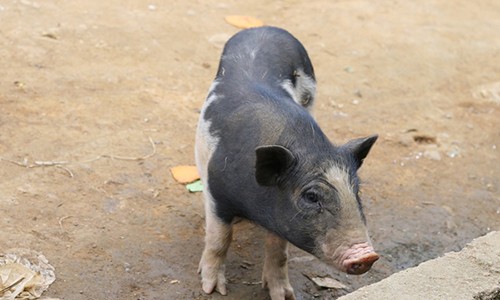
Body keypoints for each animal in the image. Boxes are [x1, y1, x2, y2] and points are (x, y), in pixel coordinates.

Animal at [195, 26, 378, 300]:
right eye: (311, 196)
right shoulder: (217, 192)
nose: (368, 255)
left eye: (356, 191)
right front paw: (213, 290)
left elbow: (278, 252)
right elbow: (219, 240)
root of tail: (264, 28)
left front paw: (284, 295)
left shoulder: (280, 218)